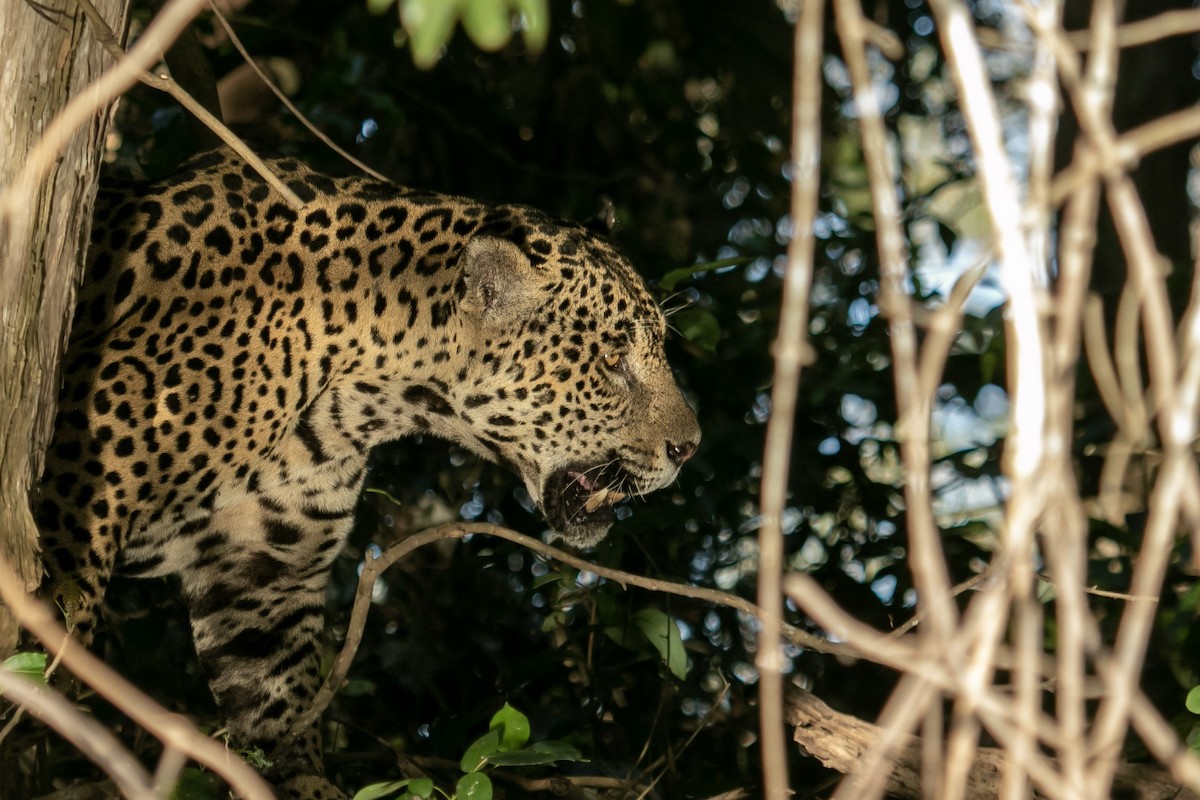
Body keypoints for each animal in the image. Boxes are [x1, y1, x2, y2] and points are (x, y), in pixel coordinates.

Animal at [33, 148, 700, 798]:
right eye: (611, 360)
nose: (689, 447)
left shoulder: (262, 578)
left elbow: (279, 712)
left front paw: (305, 785)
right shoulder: (76, 507)